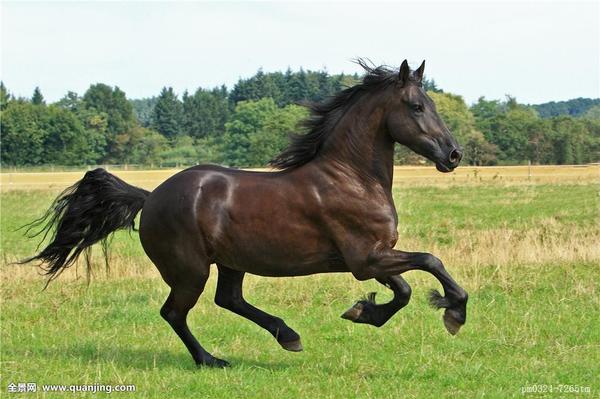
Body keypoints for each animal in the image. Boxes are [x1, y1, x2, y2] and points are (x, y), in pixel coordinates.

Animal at [24, 60, 468, 368]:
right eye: (416, 106)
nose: (453, 155)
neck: (351, 178)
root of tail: (149, 198)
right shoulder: (365, 258)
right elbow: (430, 261)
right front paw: (454, 312)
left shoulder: (373, 257)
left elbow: (405, 289)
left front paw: (363, 311)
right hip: (190, 269)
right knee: (175, 312)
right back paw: (211, 359)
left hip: (231, 262)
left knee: (229, 299)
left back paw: (287, 335)